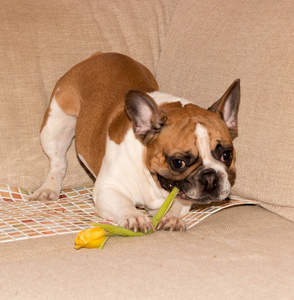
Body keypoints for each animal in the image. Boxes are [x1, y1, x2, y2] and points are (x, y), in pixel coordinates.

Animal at [32, 52, 240, 232]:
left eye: (227, 155)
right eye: (178, 162)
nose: (210, 177)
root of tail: (99, 55)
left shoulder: (183, 197)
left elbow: (175, 204)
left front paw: (171, 218)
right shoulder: (107, 189)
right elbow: (123, 203)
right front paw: (135, 217)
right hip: (55, 126)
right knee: (58, 162)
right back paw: (48, 189)